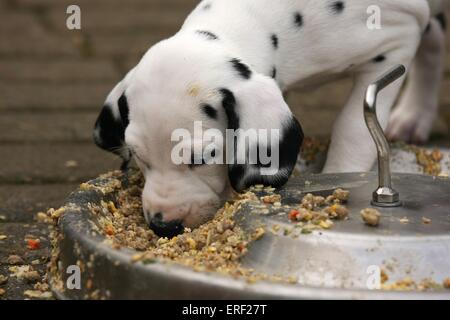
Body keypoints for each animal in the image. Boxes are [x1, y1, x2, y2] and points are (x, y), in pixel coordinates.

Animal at [93, 0, 448, 238]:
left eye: (204, 156)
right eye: (139, 156)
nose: (163, 225)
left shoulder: (395, 42)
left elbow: (353, 130)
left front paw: (339, 174)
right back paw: (414, 116)